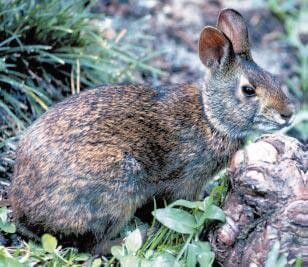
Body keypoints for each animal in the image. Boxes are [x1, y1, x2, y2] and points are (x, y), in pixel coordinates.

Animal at [9, 8, 294, 255]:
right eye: (249, 90)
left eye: (274, 78)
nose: (288, 113)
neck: (210, 117)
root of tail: (25, 213)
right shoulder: (186, 180)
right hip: (117, 188)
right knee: (94, 245)